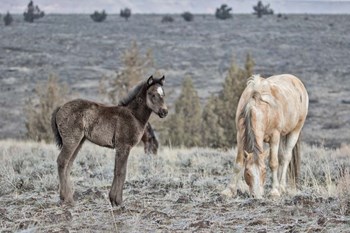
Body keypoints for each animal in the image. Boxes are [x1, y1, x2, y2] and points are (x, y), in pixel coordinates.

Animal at [51, 75, 167, 206]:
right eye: (152, 94)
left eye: (163, 94)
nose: (164, 112)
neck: (134, 116)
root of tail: (60, 108)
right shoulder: (123, 146)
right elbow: (121, 172)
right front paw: (118, 201)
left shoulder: (122, 148)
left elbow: (117, 170)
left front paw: (113, 199)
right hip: (71, 140)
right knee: (62, 161)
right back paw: (66, 199)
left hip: (79, 142)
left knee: (68, 164)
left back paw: (69, 197)